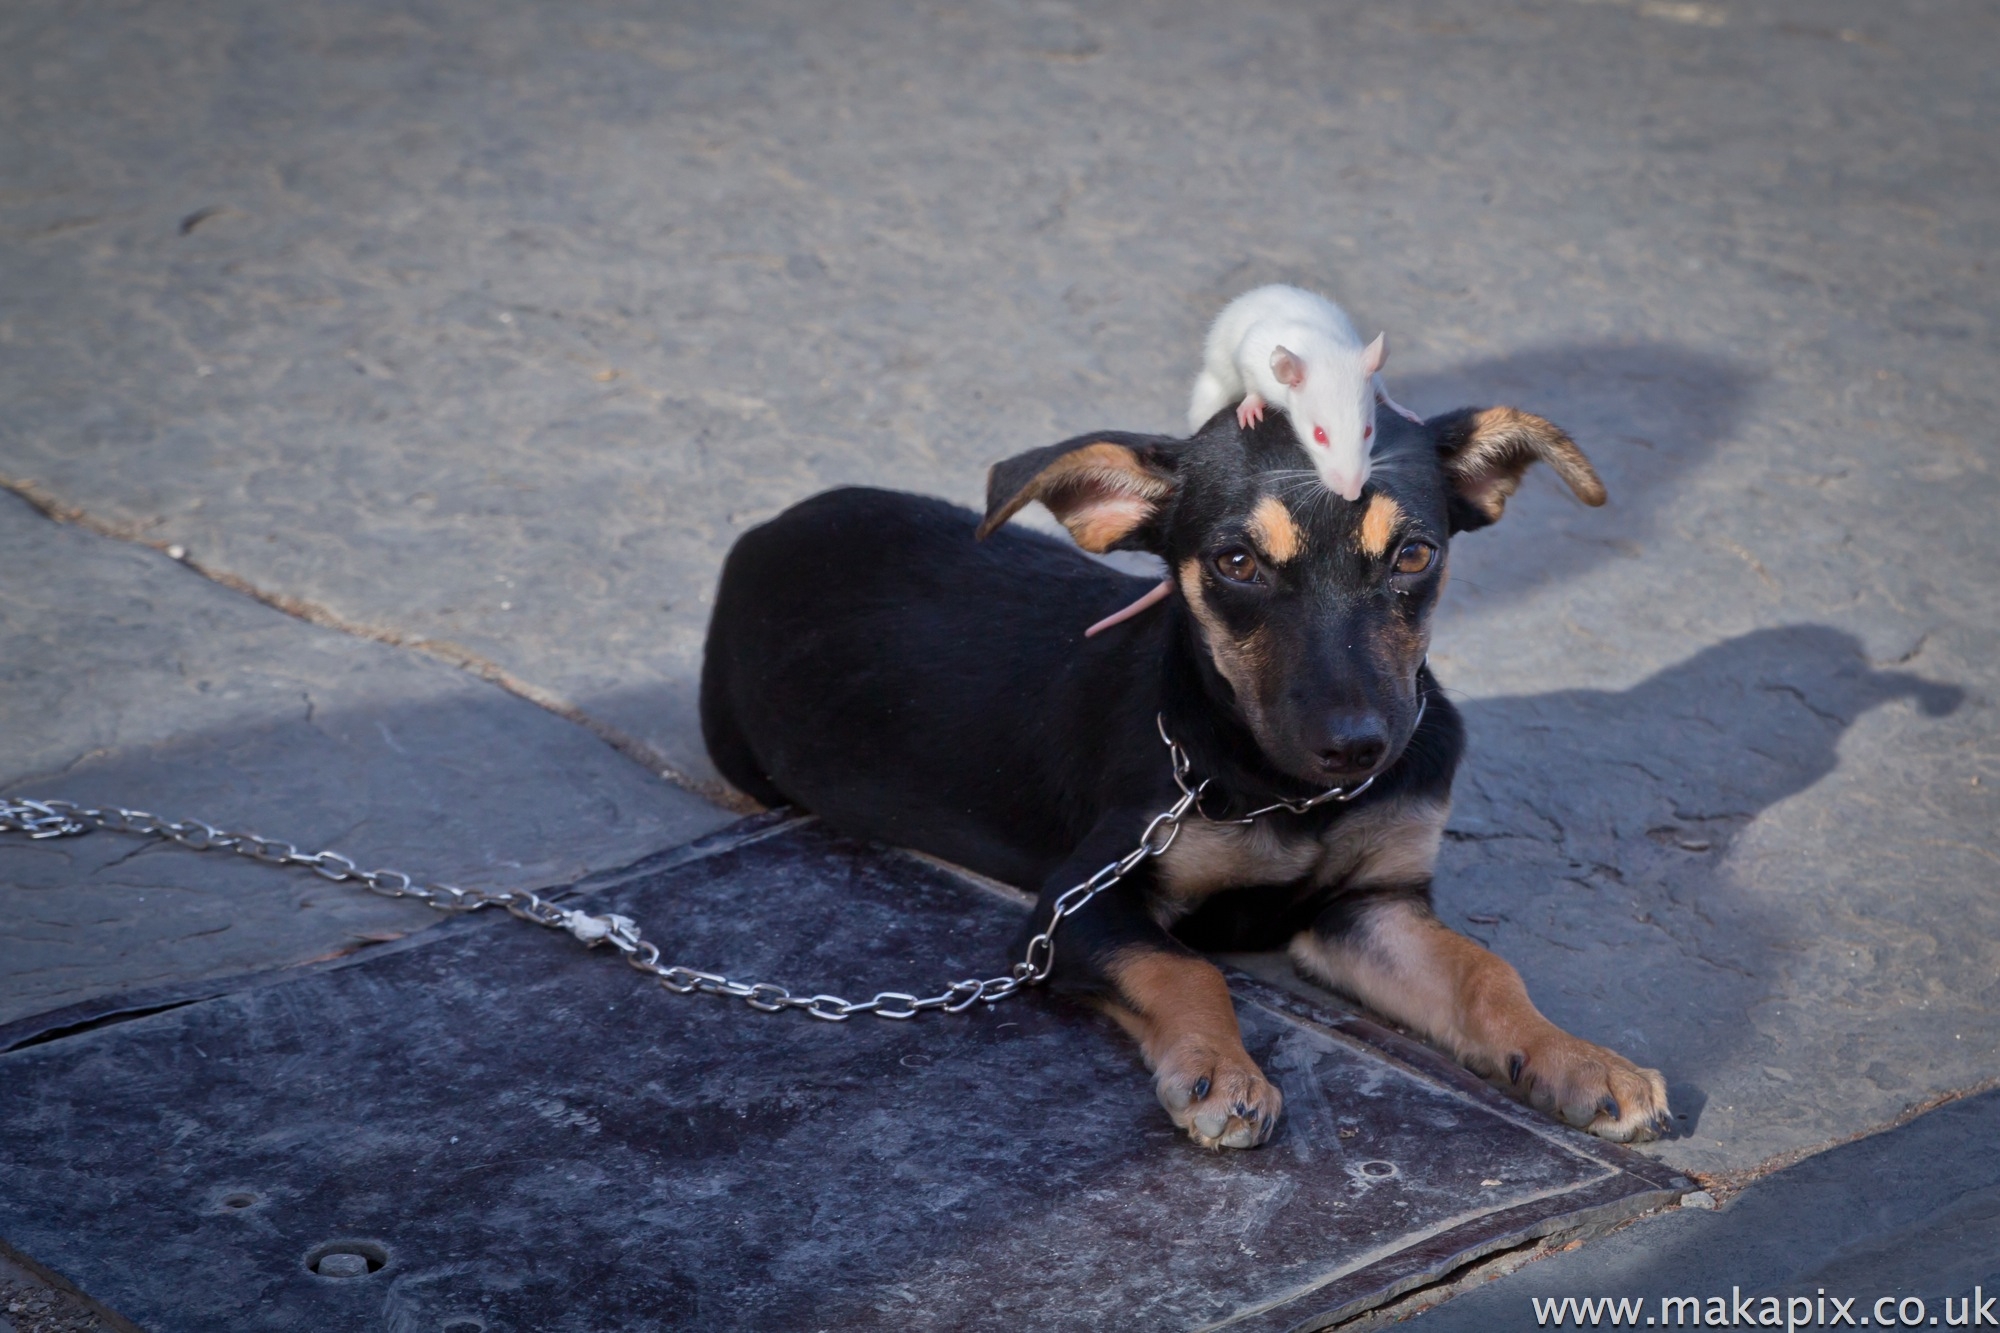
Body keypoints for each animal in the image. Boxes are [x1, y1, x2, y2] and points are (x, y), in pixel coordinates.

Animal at [704, 400, 1672, 1144]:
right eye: (1236, 563)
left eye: (1414, 555)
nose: (1358, 746)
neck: (1289, 793)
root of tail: (769, 528)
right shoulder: (1074, 905)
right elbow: (1185, 969)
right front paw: (1221, 1074)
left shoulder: (1370, 906)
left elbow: (1484, 971)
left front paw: (1582, 1060)